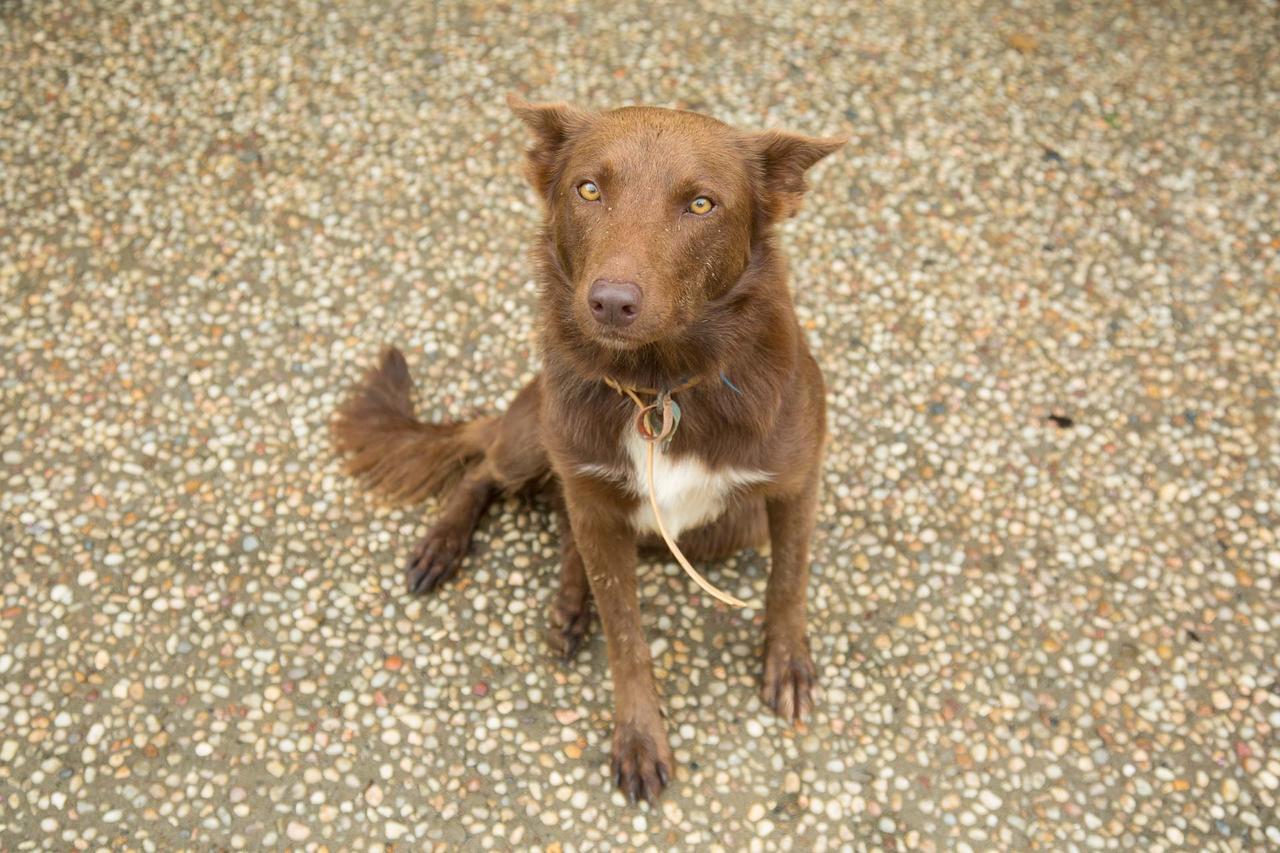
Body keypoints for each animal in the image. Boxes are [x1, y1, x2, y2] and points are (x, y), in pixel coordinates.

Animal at [335, 96, 844, 799]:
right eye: (588, 190)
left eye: (702, 204)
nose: (610, 302)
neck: (659, 389)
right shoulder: (595, 497)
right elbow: (626, 635)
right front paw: (639, 737)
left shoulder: (795, 481)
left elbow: (789, 581)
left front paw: (788, 664)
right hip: (538, 434)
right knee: (487, 468)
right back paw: (447, 547)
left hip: (726, 525)